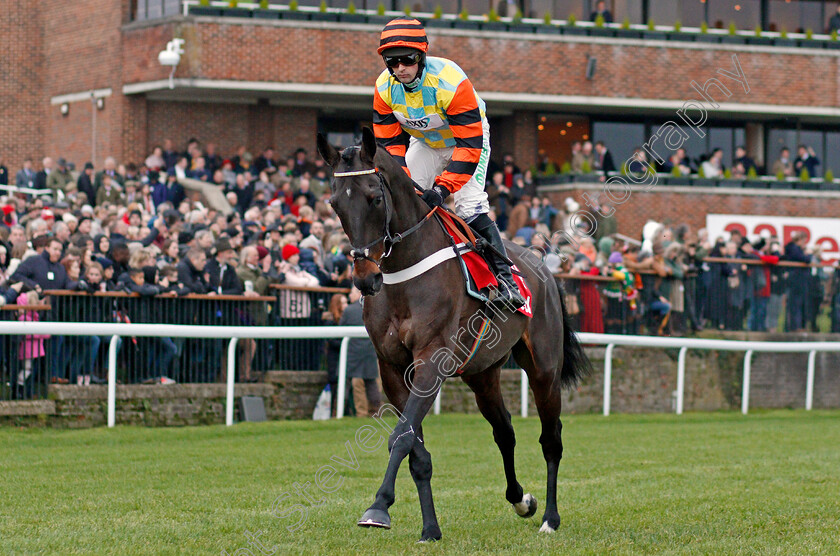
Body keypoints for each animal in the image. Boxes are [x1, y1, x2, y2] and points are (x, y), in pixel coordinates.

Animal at [316, 128, 592, 540]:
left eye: (375, 197)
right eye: (335, 204)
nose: (365, 278)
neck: (403, 271)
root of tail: (542, 266)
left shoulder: (432, 359)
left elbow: (401, 436)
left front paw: (378, 507)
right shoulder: (391, 367)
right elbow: (415, 447)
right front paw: (429, 527)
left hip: (544, 367)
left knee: (551, 439)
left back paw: (549, 518)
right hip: (483, 373)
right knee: (504, 431)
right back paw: (521, 500)